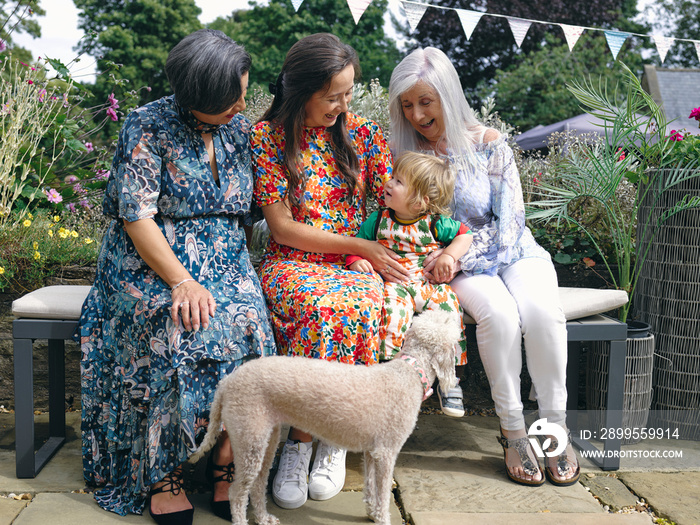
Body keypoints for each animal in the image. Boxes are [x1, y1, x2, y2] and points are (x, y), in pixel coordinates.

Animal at [191, 310, 462, 524]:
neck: (408, 372)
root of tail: (226, 383)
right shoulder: (386, 452)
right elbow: (384, 493)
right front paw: (383, 518)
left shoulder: (372, 451)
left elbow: (371, 487)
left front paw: (372, 512)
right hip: (249, 437)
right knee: (236, 493)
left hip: (264, 438)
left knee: (257, 484)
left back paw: (264, 518)